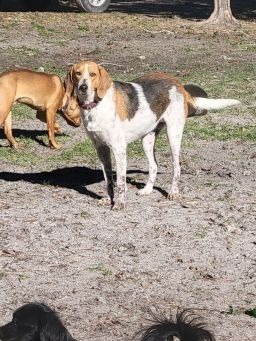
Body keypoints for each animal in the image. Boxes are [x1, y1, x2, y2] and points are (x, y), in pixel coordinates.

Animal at [65, 61, 240, 209]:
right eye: (78, 74)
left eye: (93, 74)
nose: (83, 87)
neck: (95, 105)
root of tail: (178, 83)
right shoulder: (101, 149)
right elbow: (109, 180)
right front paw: (109, 199)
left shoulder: (119, 149)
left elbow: (120, 182)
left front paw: (120, 204)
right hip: (147, 140)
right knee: (154, 166)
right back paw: (148, 189)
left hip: (173, 135)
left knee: (177, 167)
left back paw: (173, 192)